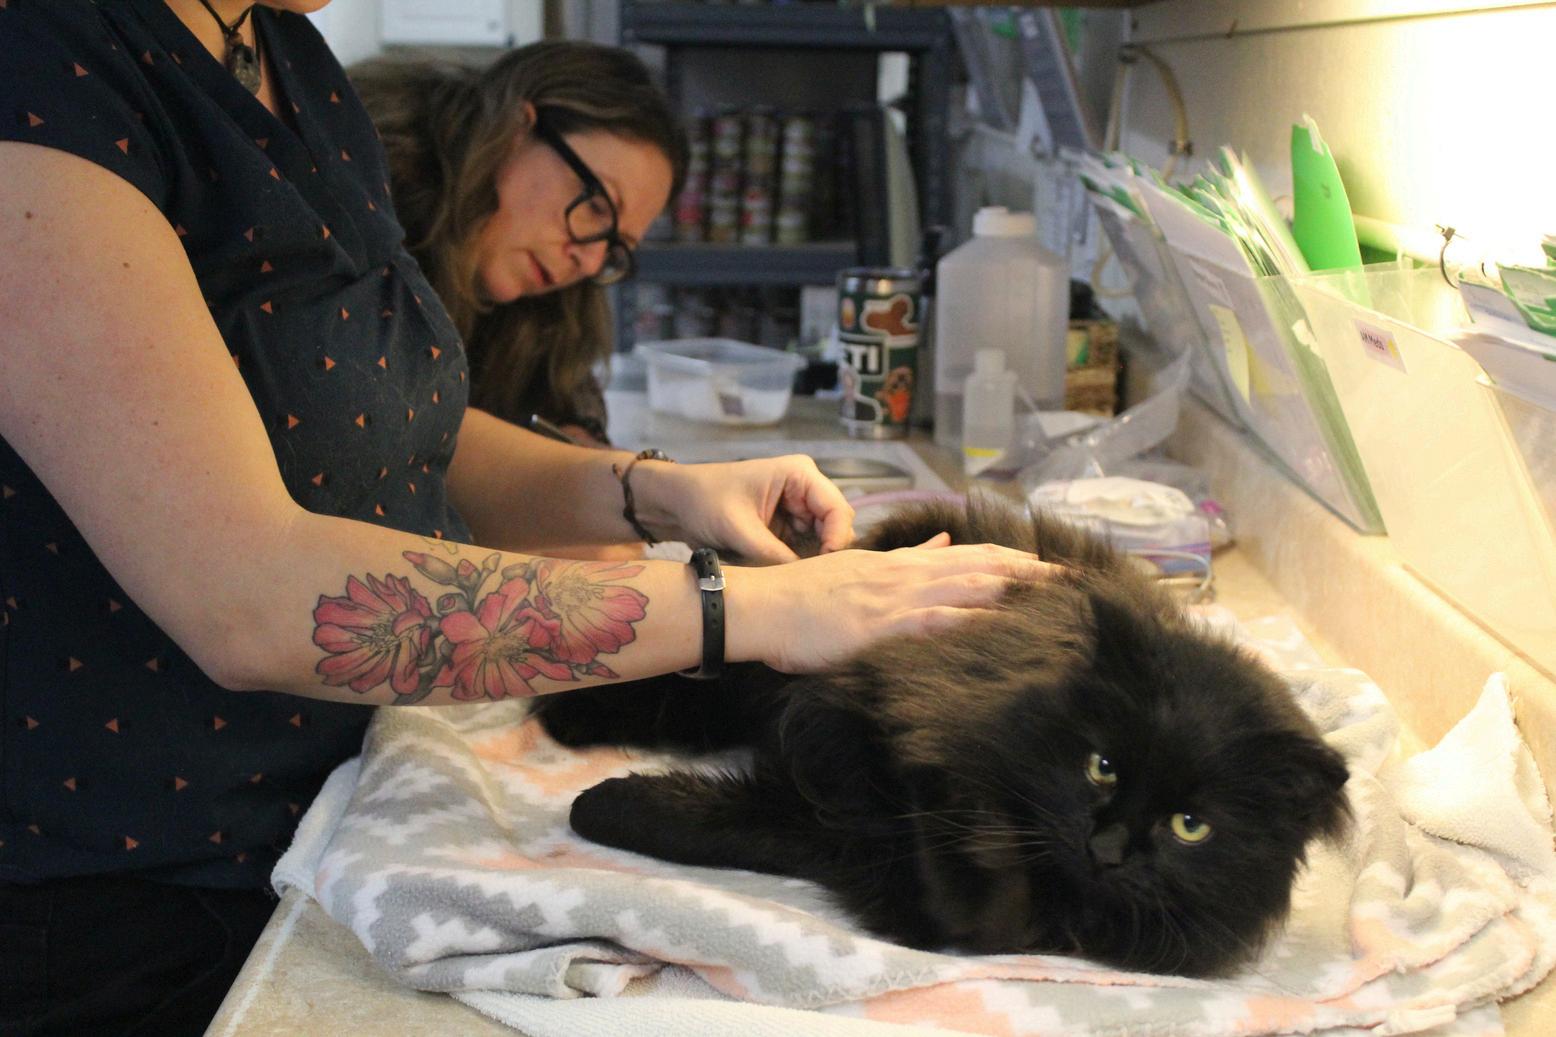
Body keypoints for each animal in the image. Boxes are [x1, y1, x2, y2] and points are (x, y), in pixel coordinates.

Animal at [530, 497, 1350, 977]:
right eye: (1102, 766)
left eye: (1191, 826)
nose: (1109, 847)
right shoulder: (853, 739)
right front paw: (598, 805)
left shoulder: (858, 842)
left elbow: (751, 826)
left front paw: (607, 805)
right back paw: (565, 708)